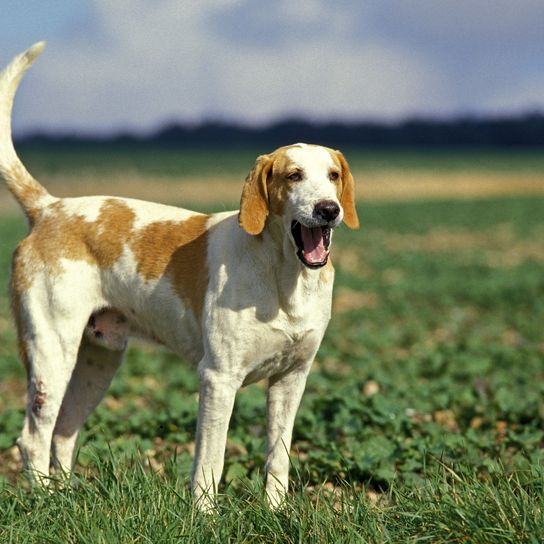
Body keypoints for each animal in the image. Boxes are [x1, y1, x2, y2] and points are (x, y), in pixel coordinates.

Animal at [0, 43, 360, 510]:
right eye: (293, 175)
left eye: (333, 176)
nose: (328, 210)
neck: (284, 277)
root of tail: (49, 208)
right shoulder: (218, 379)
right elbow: (211, 458)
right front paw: (204, 514)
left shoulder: (291, 379)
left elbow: (278, 456)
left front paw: (276, 511)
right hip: (50, 353)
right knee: (33, 438)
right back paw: (46, 500)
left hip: (98, 360)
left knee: (63, 432)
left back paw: (66, 498)